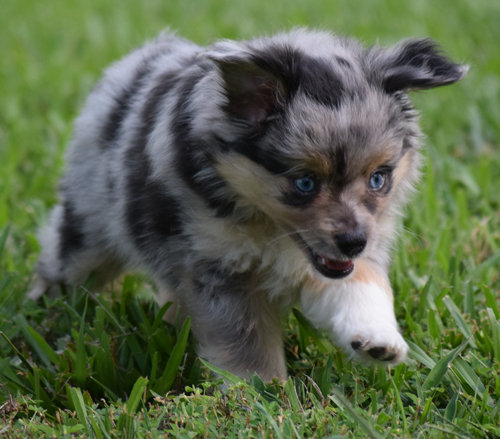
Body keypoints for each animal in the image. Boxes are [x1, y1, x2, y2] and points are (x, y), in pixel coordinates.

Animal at [29, 30, 466, 382]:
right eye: (304, 183)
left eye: (379, 178)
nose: (354, 242)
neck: (269, 227)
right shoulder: (220, 269)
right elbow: (247, 346)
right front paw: (262, 397)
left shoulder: (354, 246)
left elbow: (362, 285)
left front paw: (378, 340)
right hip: (88, 226)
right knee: (65, 260)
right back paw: (41, 315)